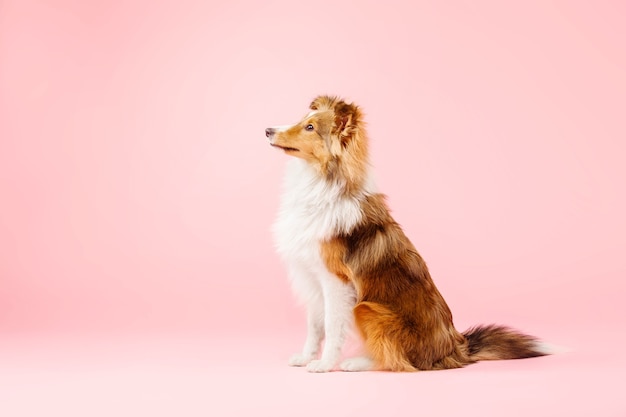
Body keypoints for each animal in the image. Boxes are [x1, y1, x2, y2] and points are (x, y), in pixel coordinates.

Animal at [264, 96, 544, 372]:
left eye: (310, 127)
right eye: (302, 121)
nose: (267, 130)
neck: (319, 182)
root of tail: (456, 348)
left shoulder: (336, 281)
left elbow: (333, 327)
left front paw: (324, 364)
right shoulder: (312, 278)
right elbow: (315, 327)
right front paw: (306, 357)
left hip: (366, 308)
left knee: (396, 359)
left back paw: (355, 363)